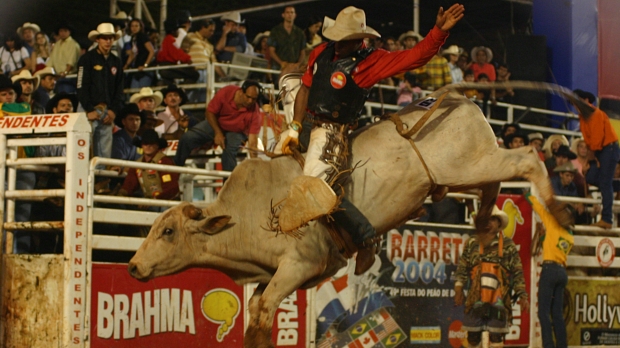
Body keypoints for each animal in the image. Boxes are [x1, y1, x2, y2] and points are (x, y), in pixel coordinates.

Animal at [127, 85, 576, 346]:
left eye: (168, 231)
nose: (132, 266)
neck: (248, 214)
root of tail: (459, 99)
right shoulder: (274, 276)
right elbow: (258, 313)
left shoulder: (297, 265)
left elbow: (265, 311)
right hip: (471, 168)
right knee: (496, 184)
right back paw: (485, 222)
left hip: (468, 165)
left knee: (527, 157)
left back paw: (558, 211)